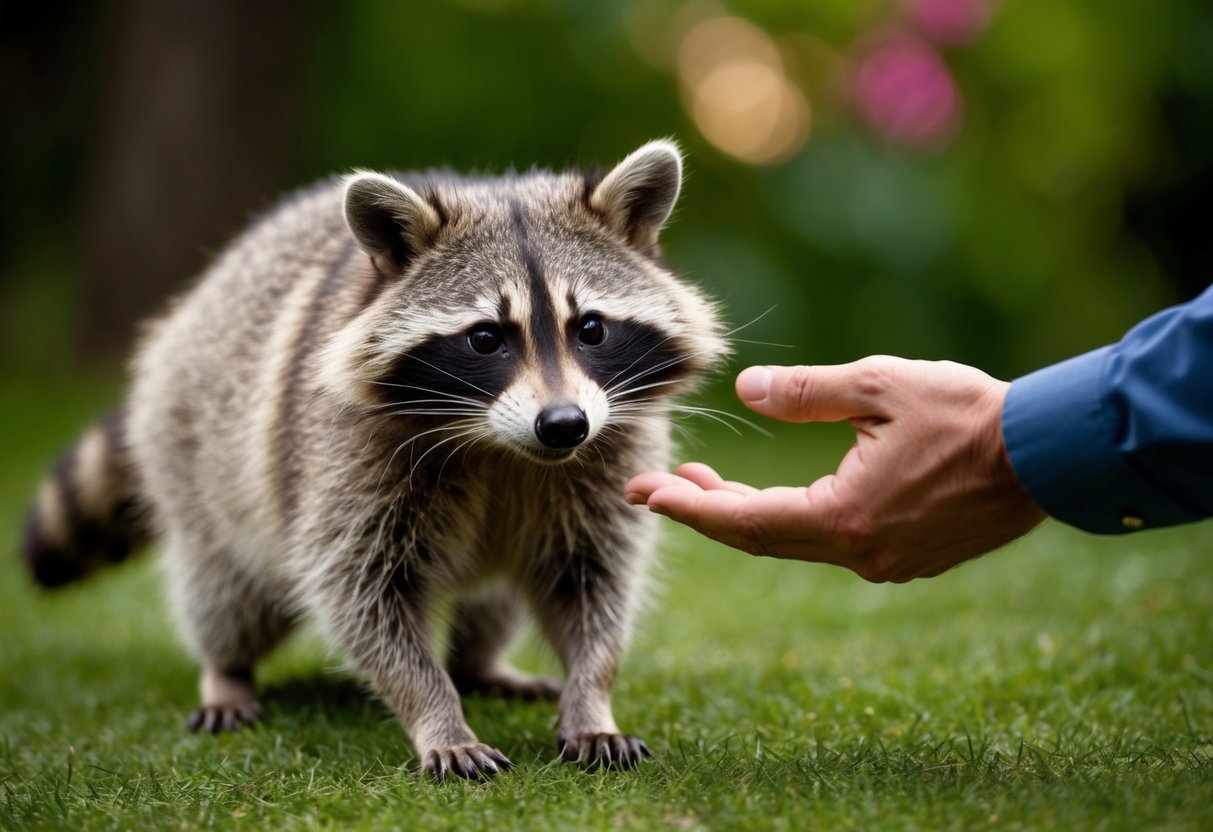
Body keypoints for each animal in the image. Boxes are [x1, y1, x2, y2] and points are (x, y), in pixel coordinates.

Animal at [22, 140, 725, 780]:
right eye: (485, 338)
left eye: (592, 329)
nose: (562, 425)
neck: (504, 450)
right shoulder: (344, 461)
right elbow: (361, 595)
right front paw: (436, 713)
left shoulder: (610, 453)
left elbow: (593, 585)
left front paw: (592, 697)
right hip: (193, 446)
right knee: (227, 591)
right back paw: (226, 670)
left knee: (496, 598)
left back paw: (480, 663)